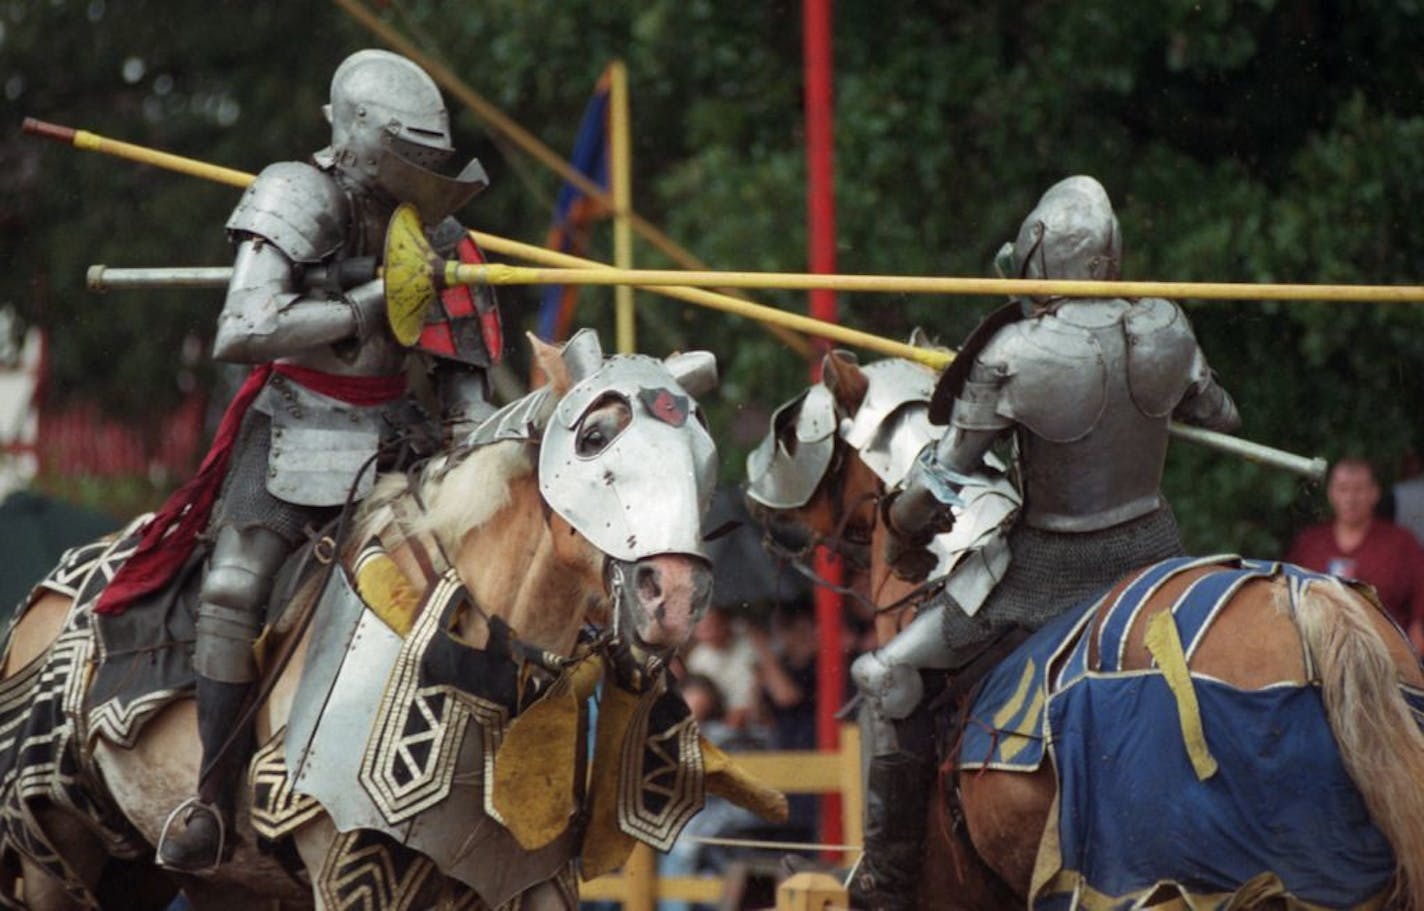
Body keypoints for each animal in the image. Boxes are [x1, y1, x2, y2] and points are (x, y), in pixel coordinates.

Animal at [0, 335, 729, 911]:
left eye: (704, 452)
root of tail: (42, 598)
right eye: (594, 437)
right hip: (52, 850)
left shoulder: (531, 881)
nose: (674, 596)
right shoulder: (353, 868)